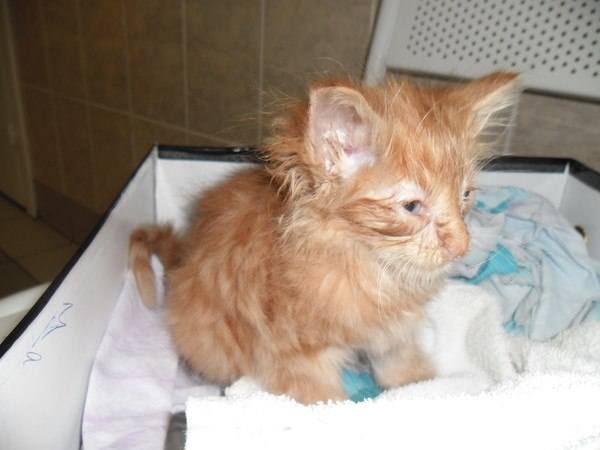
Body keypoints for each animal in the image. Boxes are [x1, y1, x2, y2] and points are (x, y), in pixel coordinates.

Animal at [129, 72, 518, 404]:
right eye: (411, 206)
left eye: (465, 196)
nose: (461, 245)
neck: (364, 265)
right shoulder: (295, 355)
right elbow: (322, 403)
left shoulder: (391, 333)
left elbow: (403, 369)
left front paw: (423, 388)